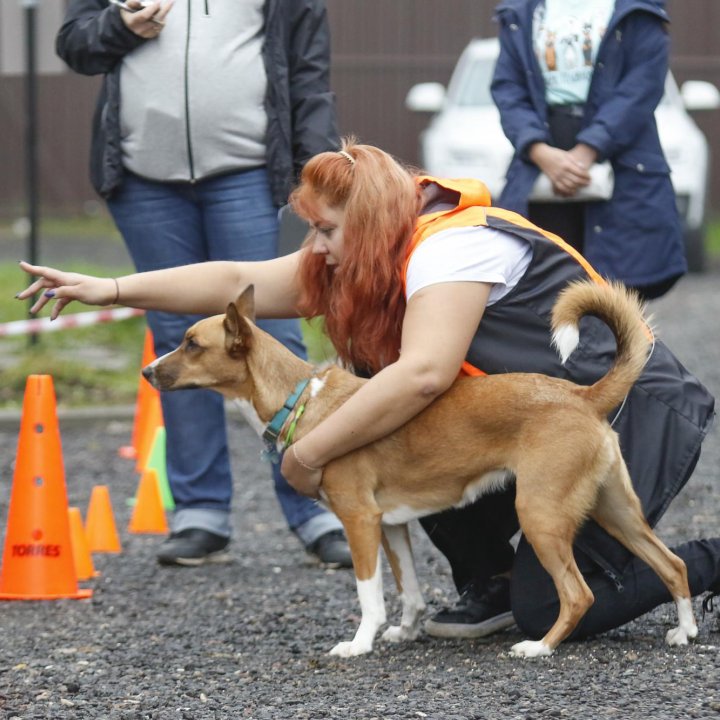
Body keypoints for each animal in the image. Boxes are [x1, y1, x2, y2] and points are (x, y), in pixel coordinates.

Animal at [142, 280, 696, 660]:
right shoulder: (391, 525)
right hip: (615, 511)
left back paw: (540, 647)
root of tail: (582, 396)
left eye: (192, 343)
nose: (146, 371)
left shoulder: (359, 522)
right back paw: (686, 629)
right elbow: (408, 590)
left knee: (579, 594)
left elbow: (369, 595)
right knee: (672, 564)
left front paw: (359, 644)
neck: (302, 400)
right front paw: (405, 632)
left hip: (540, 515)